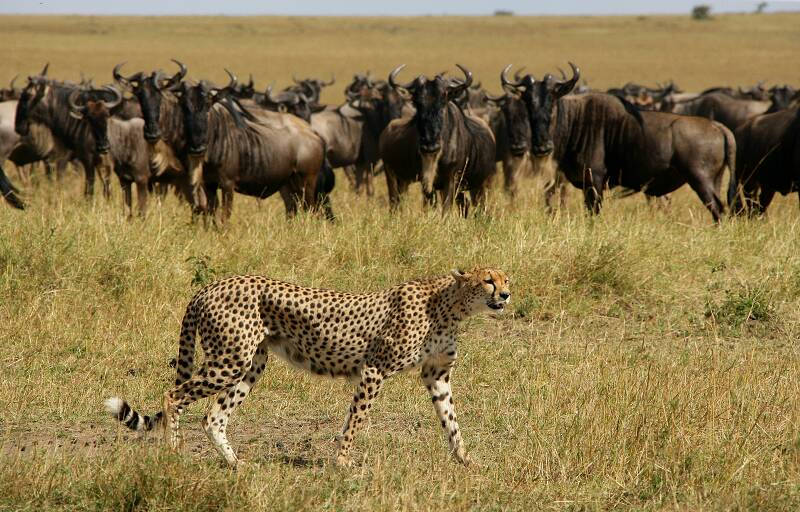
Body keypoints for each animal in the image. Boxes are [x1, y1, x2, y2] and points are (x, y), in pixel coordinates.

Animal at [104, 266, 512, 466]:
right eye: (487, 281)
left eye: (506, 279)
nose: (506, 294)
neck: (450, 305)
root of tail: (211, 285)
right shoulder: (374, 369)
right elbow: (356, 421)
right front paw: (343, 462)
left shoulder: (436, 375)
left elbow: (451, 421)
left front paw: (465, 460)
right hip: (229, 360)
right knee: (174, 396)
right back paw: (173, 453)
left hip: (251, 363)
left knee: (212, 416)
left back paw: (235, 464)